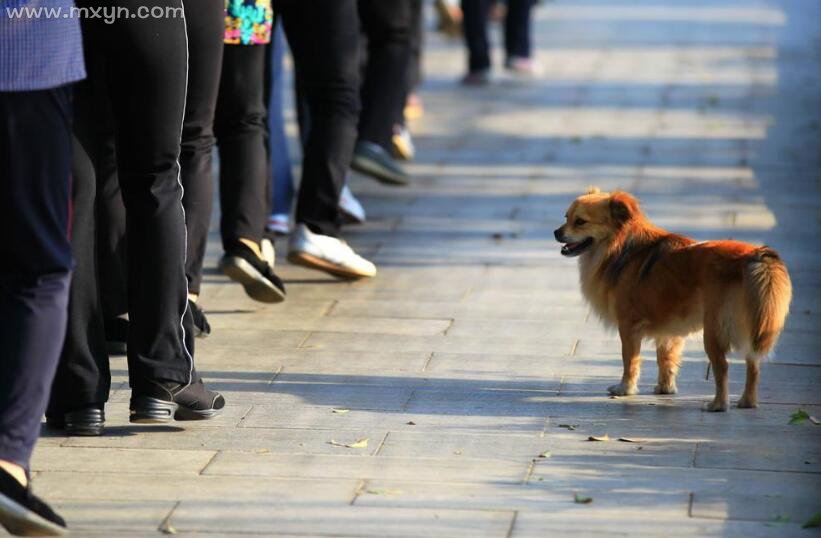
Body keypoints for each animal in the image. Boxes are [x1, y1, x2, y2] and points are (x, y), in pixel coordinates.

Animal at [556, 186, 792, 408]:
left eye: (580, 222)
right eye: (566, 217)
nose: (556, 232)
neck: (619, 248)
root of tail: (754, 255)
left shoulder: (629, 326)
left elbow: (630, 359)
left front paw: (625, 388)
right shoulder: (669, 330)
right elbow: (665, 359)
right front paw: (665, 389)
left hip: (714, 329)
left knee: (722, 367)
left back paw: (718, 405)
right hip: (753, 326)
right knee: (753, 364)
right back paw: (747, 402)